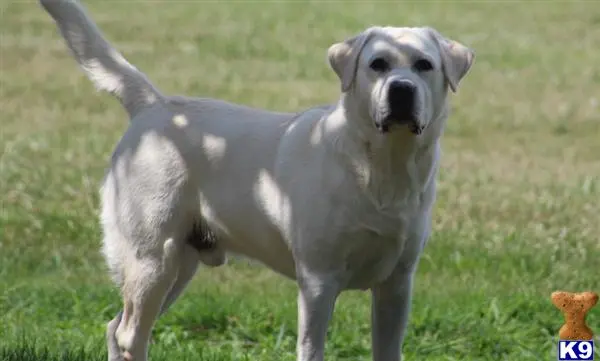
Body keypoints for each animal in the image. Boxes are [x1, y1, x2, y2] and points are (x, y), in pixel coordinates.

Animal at [39, 0, 476, 360]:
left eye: (424, 65)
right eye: (378, 64)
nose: (401, 90)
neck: (382, 168)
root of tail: (156, 106)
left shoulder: (397, 284)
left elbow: (388, 350)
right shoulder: (318, 281)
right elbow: (311, 349)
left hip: (180, 266)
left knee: (116, 328)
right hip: (152, 259)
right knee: (130, 334)